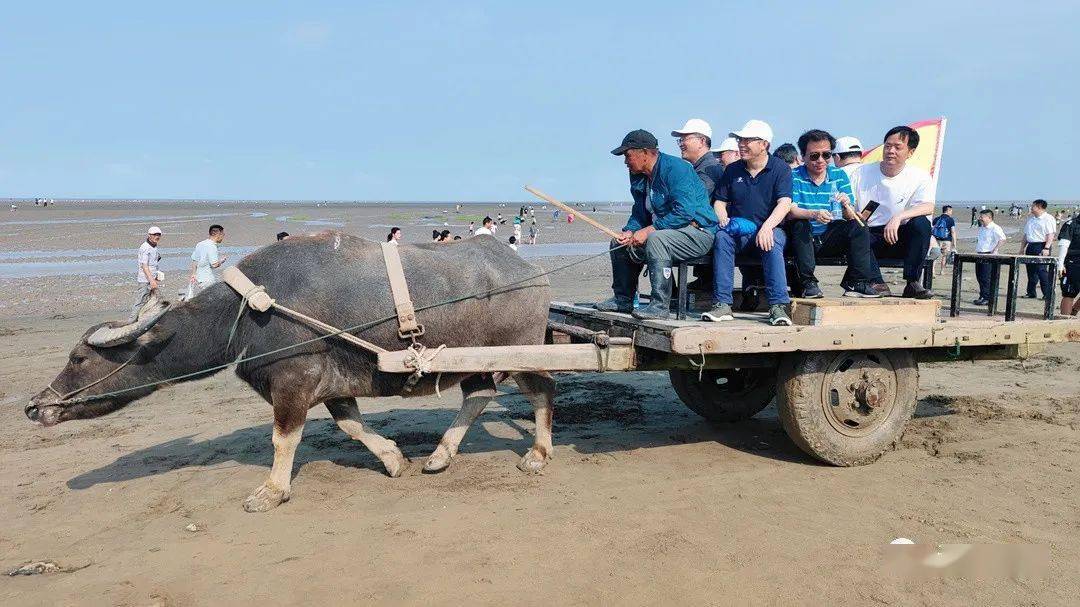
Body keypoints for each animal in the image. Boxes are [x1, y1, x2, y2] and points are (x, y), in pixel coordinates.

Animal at [27, 231, 557, 509]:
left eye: (78, 358)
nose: (36, 406)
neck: (250, 309)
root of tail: (530, 271)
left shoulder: (291, 383)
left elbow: (284, 438)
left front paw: (271, 490)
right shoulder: (332, 386)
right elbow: (351, 425)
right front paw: (392, 459)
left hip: (521, 350)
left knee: (541, 390)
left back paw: (537, 455)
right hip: (480, 360)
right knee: (478, 395)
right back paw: (439, 456)